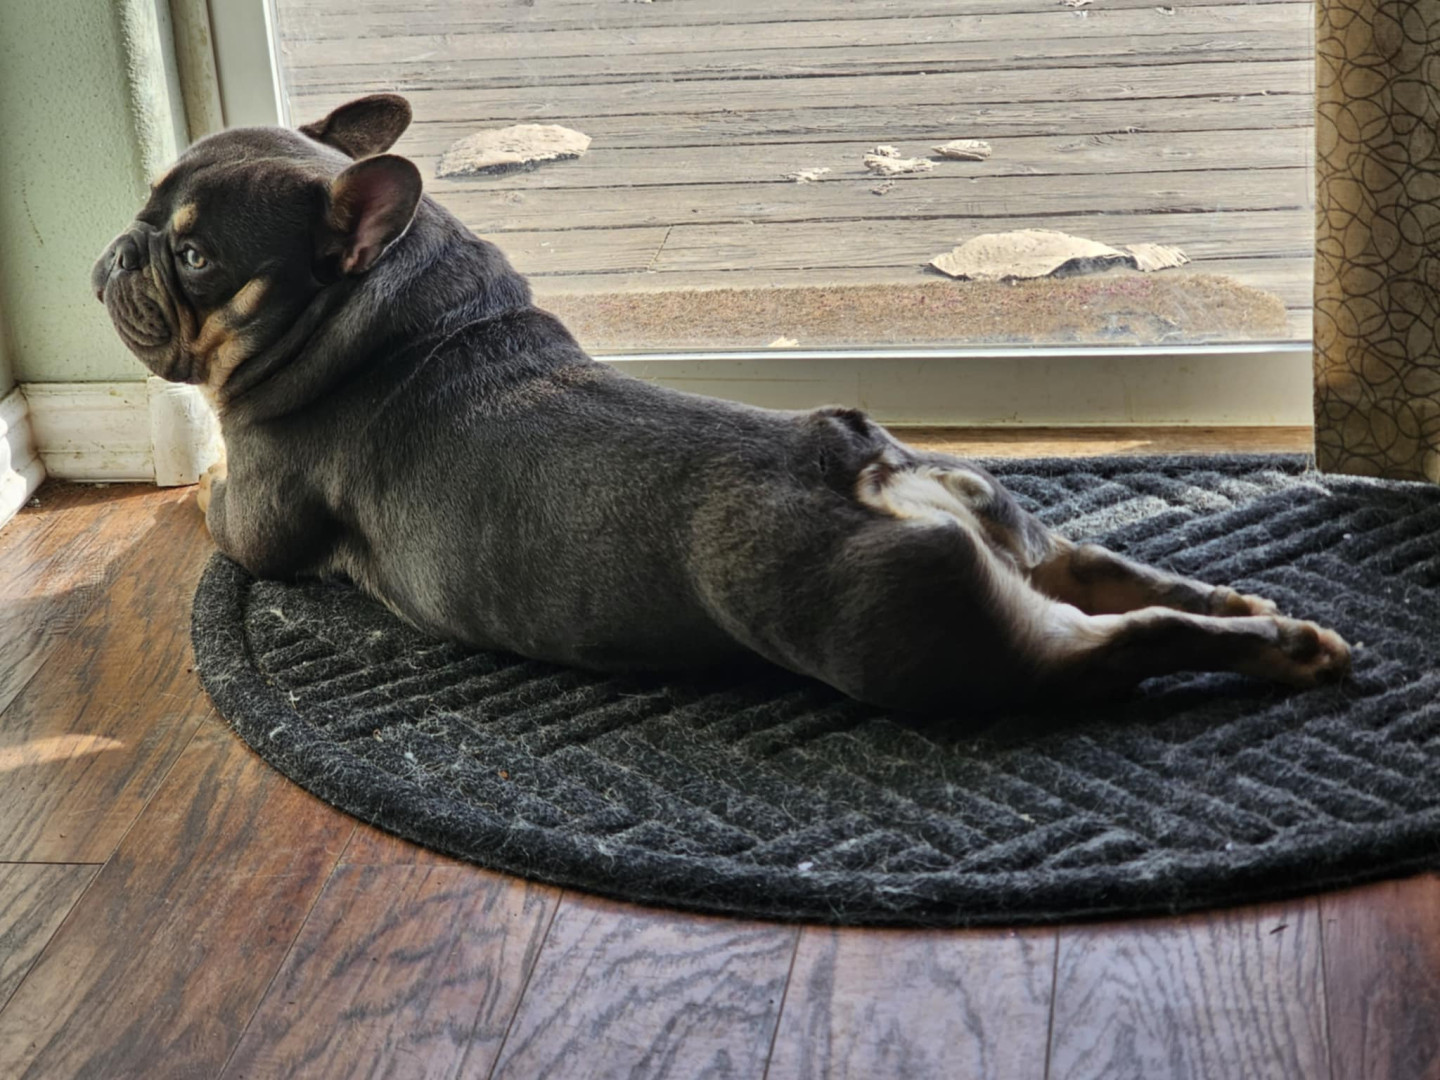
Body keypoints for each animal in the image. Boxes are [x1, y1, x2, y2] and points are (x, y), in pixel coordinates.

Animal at [92, 94, 1351, 713]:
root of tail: (856, 467)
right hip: (1013, 542)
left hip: (943, 654)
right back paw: (1272, 620)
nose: (117, 250)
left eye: (194, 257)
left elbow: (216, 498)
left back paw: (1269, 648)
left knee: (1123, 643)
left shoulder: (261, 520)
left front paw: (194, 474)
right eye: (145, 211)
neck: (399, 307)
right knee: (1120, 575)